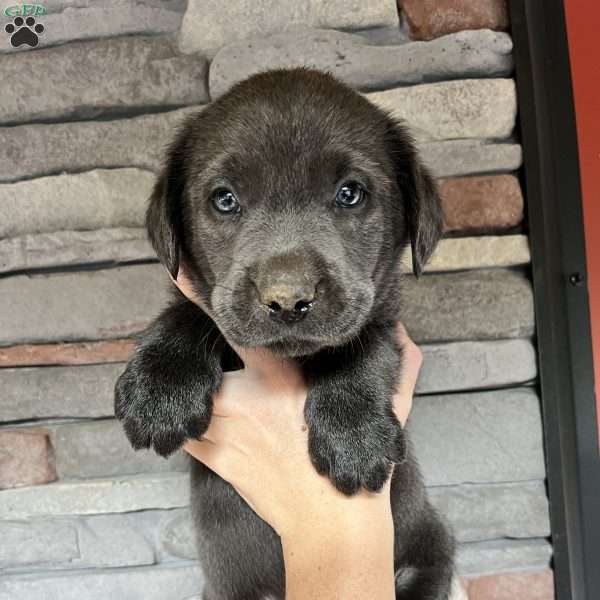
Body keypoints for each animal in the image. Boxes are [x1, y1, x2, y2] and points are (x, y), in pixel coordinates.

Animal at [115, 68, 454, 600]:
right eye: (225, 199)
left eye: (350, 193)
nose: (288, 299)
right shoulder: (210, 300)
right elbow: (194, 312)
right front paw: (159, 389)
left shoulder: (382, 315)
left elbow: (363, 347)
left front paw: (355, 437)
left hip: (429, 554)